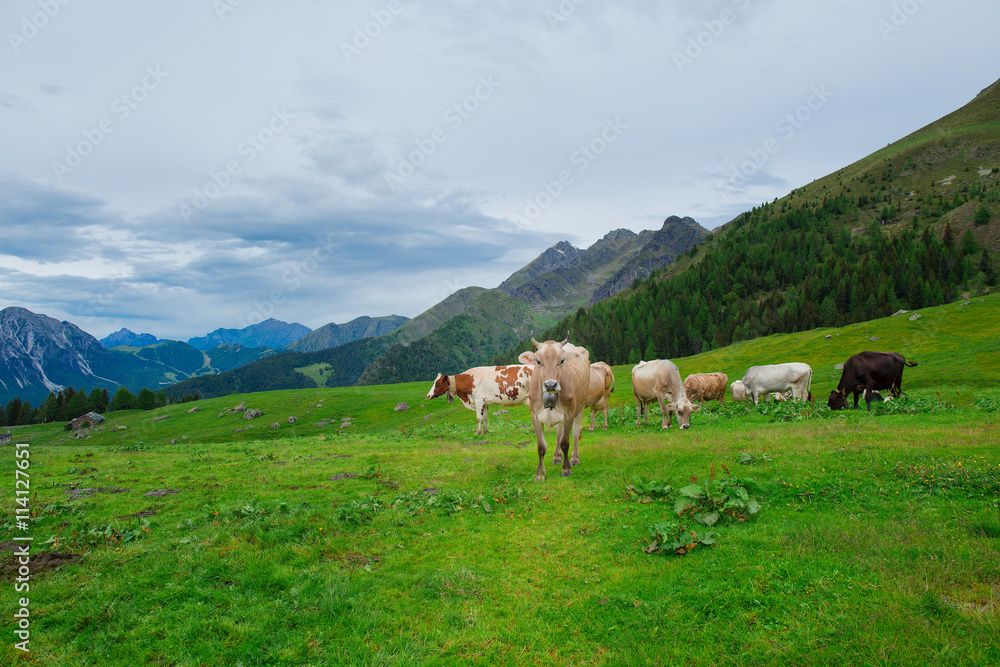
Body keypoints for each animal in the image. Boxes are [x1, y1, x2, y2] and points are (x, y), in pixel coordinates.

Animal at [520, 336, 588, 482]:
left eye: (562, 361)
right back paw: (557, 456)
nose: (550, 384)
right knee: (558, 432)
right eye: (538, 361)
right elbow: (541, 447)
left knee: (575, 432)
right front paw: (540, 474)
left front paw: (566, 469)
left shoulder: (569, 414)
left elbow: (565, 443)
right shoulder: (535, 416)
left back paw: (575, 458)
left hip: (580, 407)